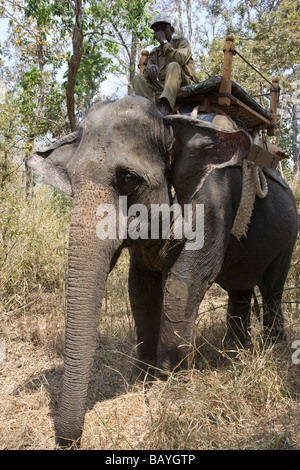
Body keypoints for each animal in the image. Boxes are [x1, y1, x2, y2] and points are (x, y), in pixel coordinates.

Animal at [27, 95, 298, 448]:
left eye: (127, 179)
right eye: (71, 181)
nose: (68, 441)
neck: (170, 121)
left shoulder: (212, 202)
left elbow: (186, 281)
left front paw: (166, 389)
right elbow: (140, 289)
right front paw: (140, 379)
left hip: (289, 235)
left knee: (271, 289)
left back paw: (272, 347)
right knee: (240, 289)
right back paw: (235, 352)